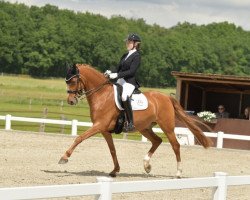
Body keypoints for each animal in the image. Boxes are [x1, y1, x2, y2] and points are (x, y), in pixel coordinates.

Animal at [59, 63, 213, 177]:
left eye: (73, 80)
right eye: (66, 81)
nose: (71, 101)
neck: (102, 95)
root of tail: (166, 97)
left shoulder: (99, 125)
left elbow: (79, 138)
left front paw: (64, 157)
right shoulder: (104, 130)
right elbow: (112, 150)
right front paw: (115, 170)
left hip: (167, 126)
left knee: (175, 145)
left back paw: (178, 172)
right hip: (144, 127)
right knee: (157, 141)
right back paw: (147, 165)